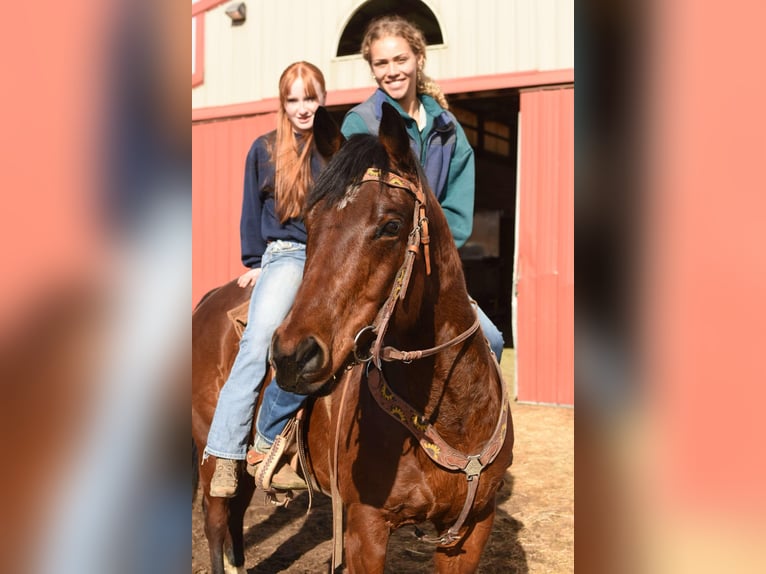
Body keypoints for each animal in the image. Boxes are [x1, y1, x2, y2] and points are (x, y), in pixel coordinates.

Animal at [269, 103, 514, 573]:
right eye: (309, 223)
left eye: (391, 225)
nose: (292, 357)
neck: (447, 413)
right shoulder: (366, 529)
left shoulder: (472, 528)